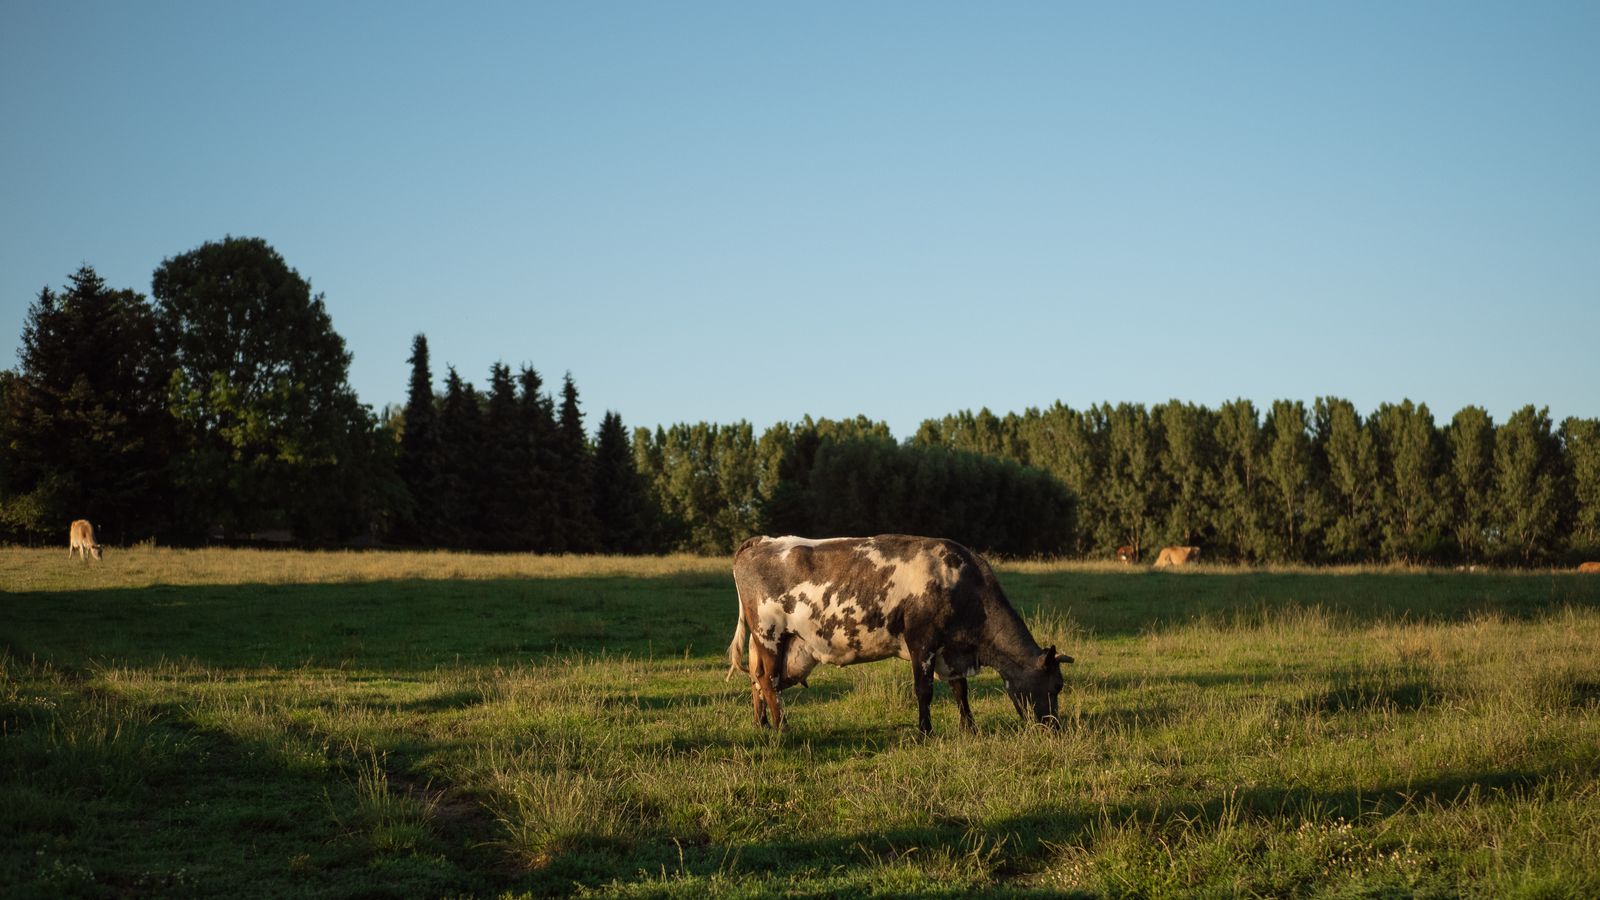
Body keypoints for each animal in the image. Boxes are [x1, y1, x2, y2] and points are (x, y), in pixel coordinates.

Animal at [732, 531, 1068, 730]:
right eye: (1056, 686)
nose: (1053, 726)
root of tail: (762, 540)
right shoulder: (922, 641)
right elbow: (924, 690)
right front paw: (925, 731)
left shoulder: (949, 649)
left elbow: (960, 690)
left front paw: (969, 728)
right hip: (769, 635)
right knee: (769, 681)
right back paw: (782, 726)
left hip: (774, 644)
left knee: (757, 680)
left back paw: (763, 724)